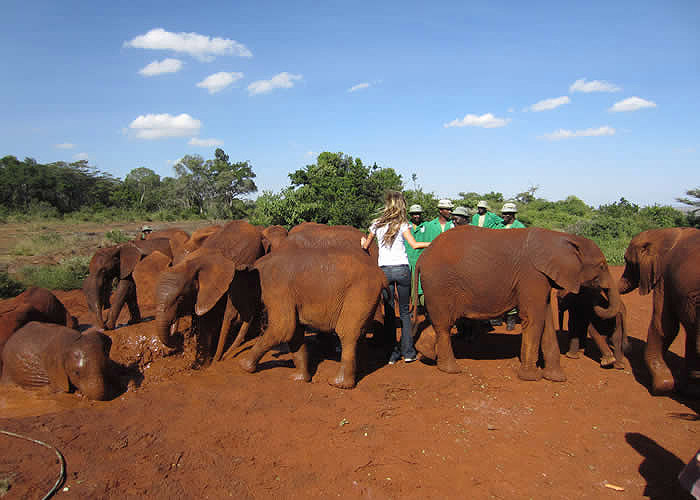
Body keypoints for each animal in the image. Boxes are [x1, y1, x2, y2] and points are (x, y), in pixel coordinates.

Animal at [238, 248, 386, 388]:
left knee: (347, 334)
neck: (255, 265)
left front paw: (243, 366)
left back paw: (337, 384)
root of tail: (381, 274)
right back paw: (359, 373)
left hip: (361, 292)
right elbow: (294, 333)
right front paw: (298, 379)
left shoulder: (276, 288)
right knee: (359, 333)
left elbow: (283, 329)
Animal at [620, 228, 696, 394]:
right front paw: (672, 385)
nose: (627, 348)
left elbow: (665, 326)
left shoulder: (664, 278)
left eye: (629, 263)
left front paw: (662, 386)